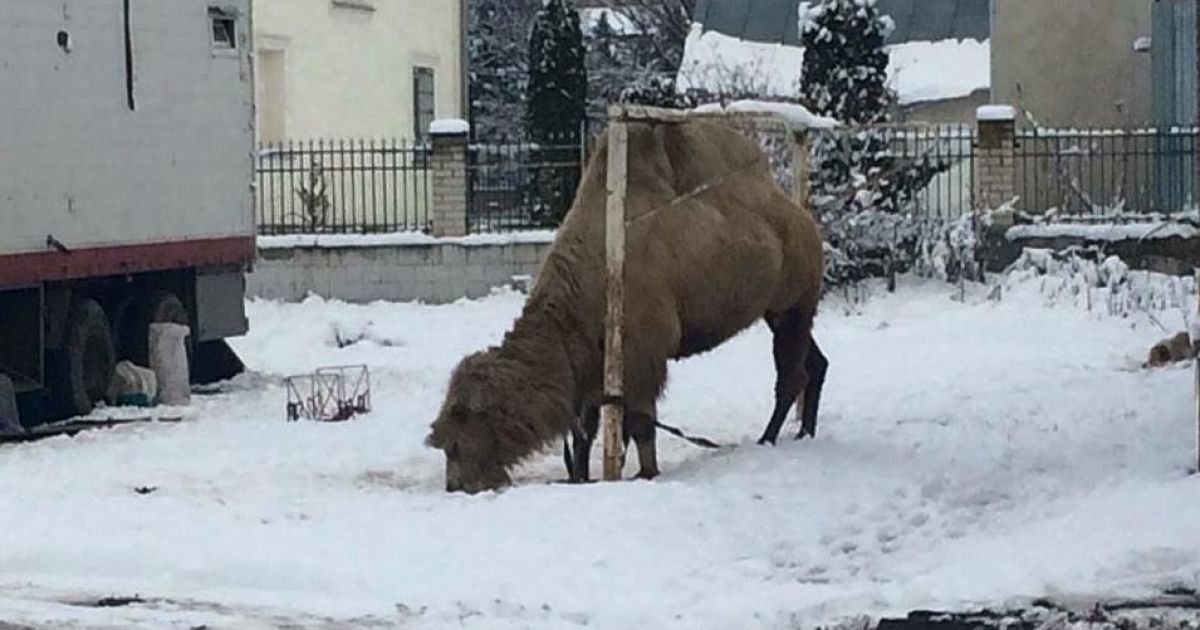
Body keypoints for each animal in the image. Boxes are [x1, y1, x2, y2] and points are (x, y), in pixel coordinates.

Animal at [426, 119, 826, 493]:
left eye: (460, 435)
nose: (457, 485)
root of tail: (803, 219)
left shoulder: (643, 360)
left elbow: (640, 425)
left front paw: (645, 473)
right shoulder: (593, 369)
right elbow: (585, 433)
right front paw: (582, 477)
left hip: (793, 306)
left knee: (792, 376)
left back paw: (768, 439)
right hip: (780, 312)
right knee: (815, 364)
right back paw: (803, 432)